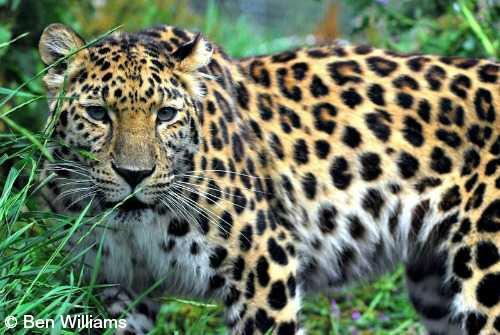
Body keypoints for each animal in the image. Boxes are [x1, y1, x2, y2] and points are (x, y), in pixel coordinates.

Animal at [39, 22, 500, 334]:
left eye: (165, 115)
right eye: (98, 113)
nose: (134, 175)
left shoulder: (263, 267)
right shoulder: (113, 289)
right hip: (433, 286)